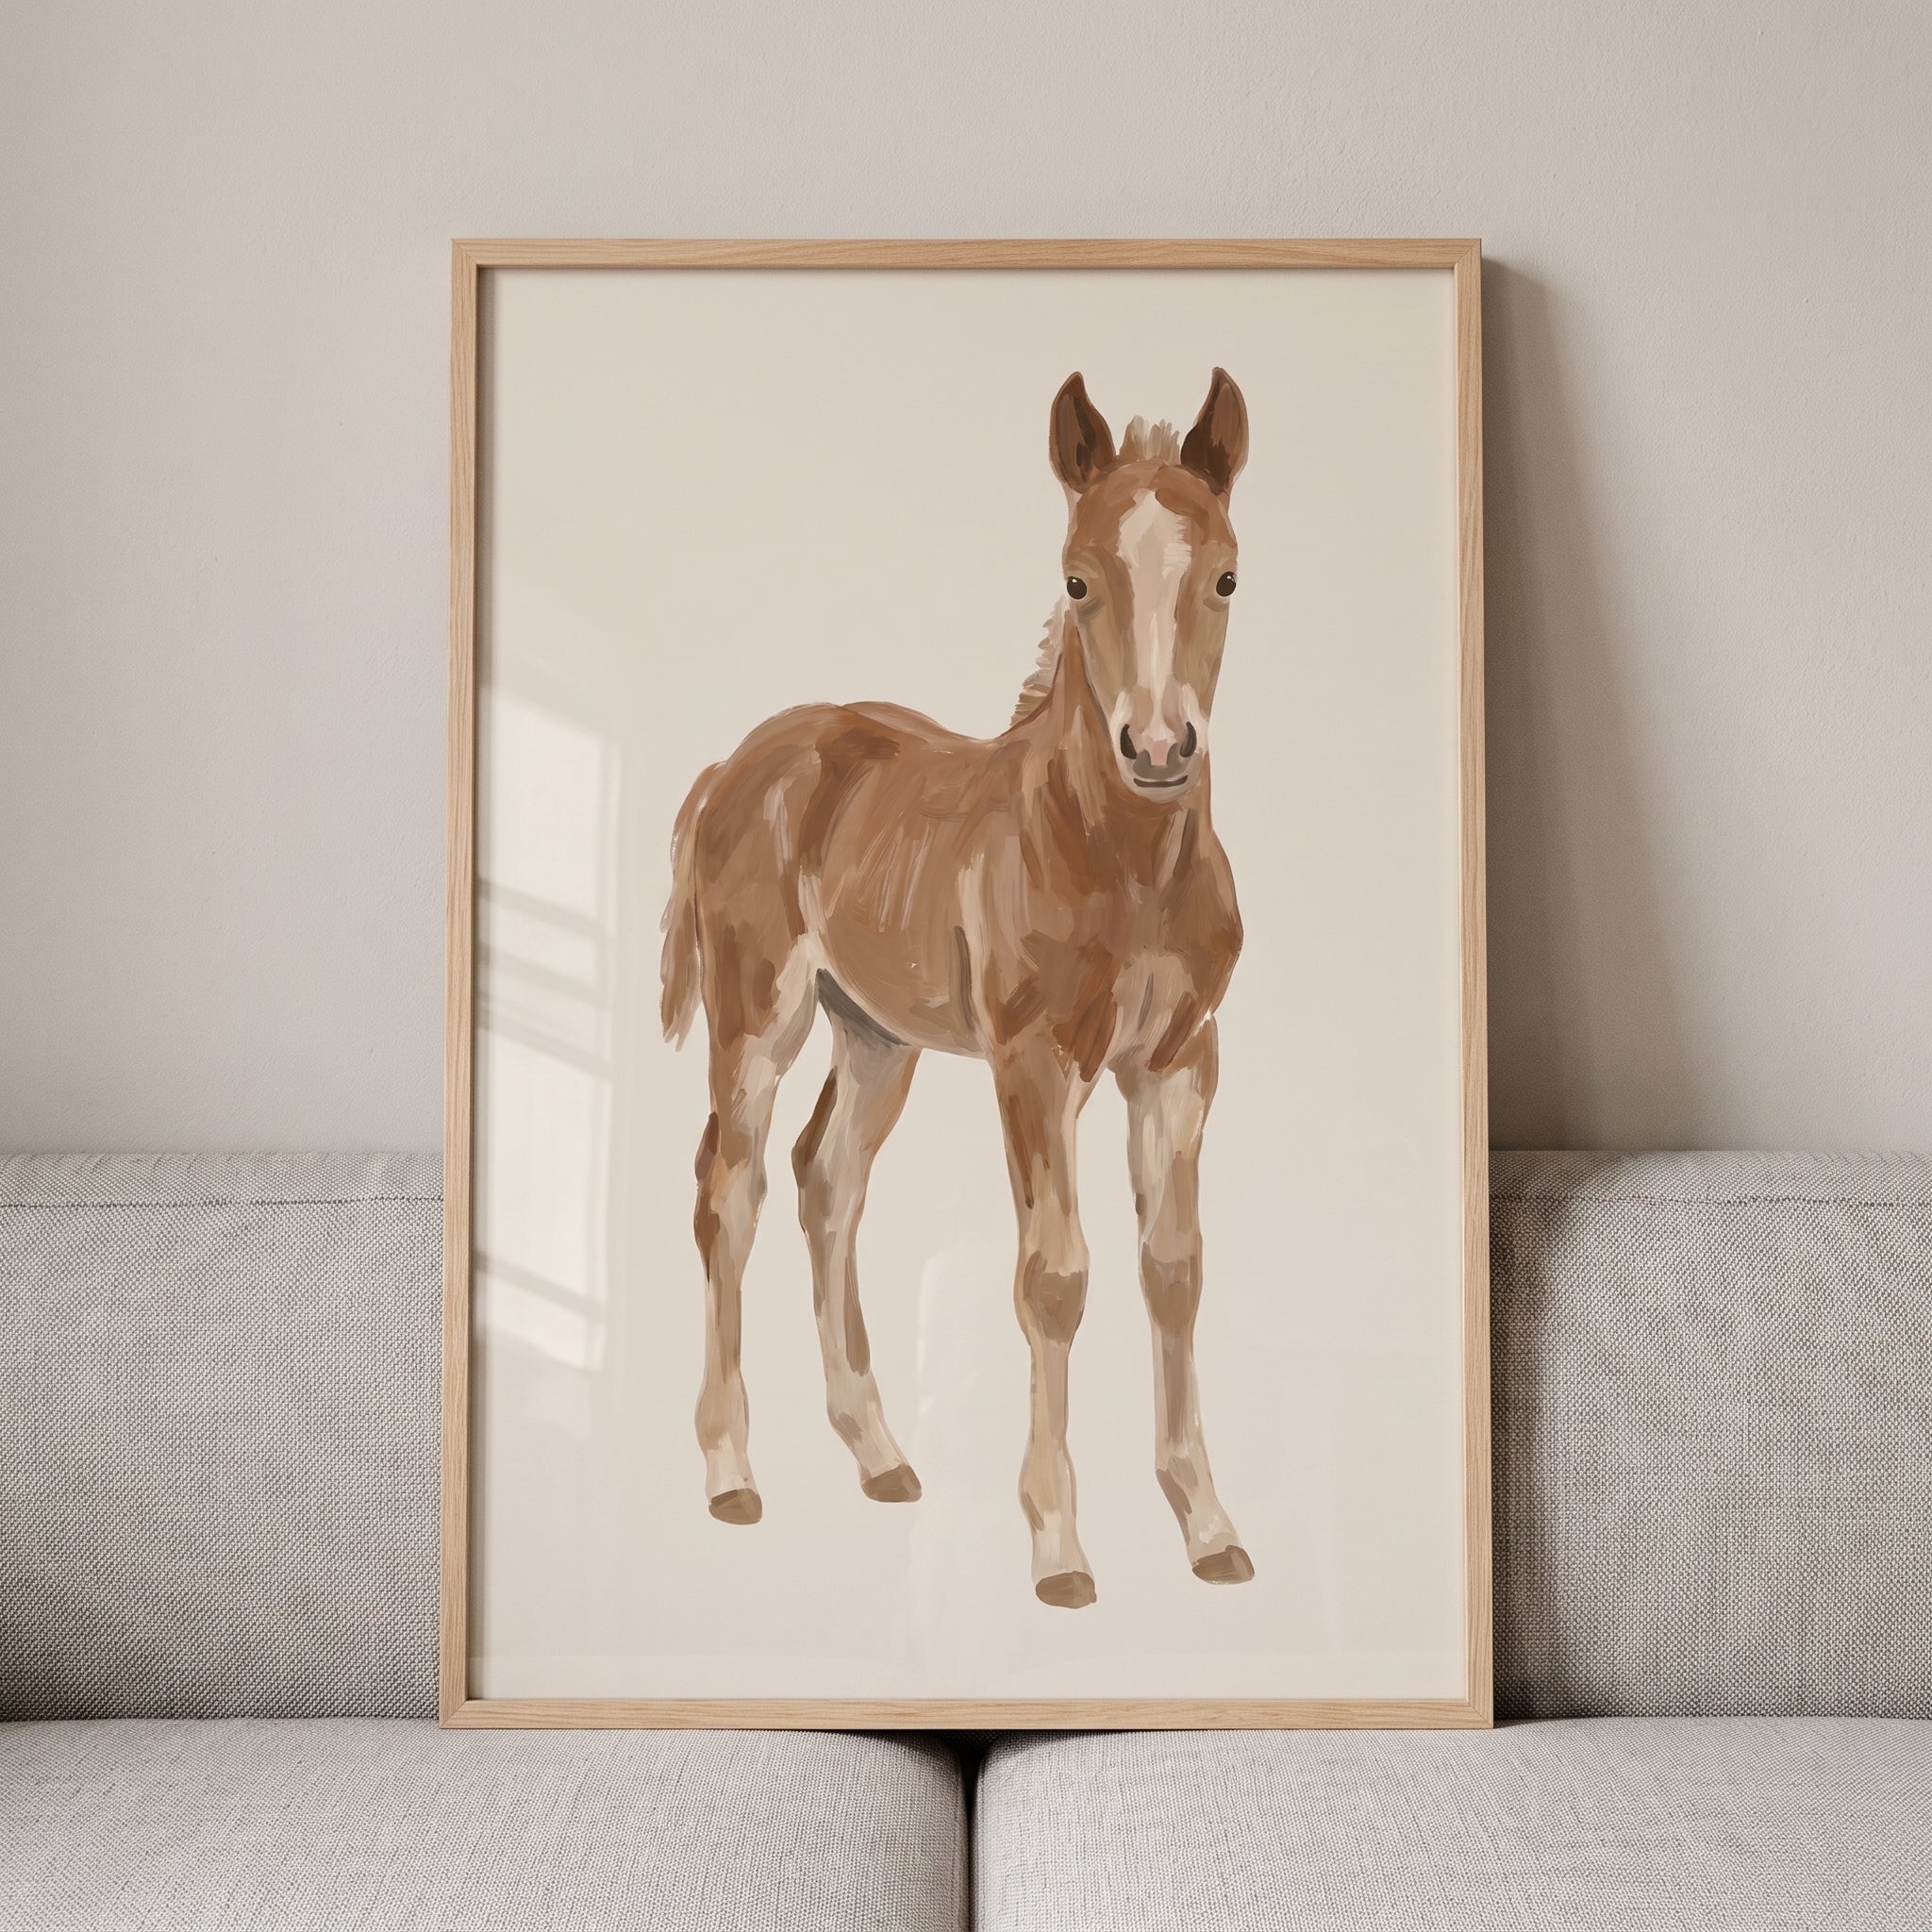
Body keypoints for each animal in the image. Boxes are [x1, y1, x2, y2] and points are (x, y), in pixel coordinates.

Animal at [659, 368, 1251, 1608]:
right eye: (1076, 578)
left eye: (1225, 575)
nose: (1157, 747)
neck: (1121, 861)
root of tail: (740, 761)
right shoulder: (1036, 1062)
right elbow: (1055, 1276)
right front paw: (1058, 1546)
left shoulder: (1181, 1059)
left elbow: (1171, 1266)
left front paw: (1207, 1525)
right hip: (758, 1016)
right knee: (728, 1189)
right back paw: (731, 1471)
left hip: (875, 1035)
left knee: (825, 1180)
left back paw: (878, 1453)